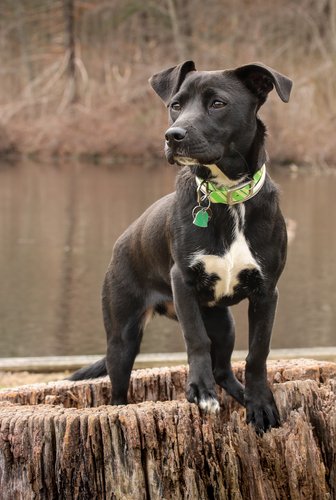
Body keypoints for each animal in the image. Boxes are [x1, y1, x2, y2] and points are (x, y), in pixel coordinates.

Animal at [71, 60, 292, 432]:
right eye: (176, 105)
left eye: (217, 103)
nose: (172, 136)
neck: (226, 196)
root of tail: (121, 241)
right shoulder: (183, 282)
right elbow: (195, 339)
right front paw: (200, 390)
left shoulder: (267, 291)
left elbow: (258, 353)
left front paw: (260, 402)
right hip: (122, 335)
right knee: (117, 390)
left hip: (223, 322)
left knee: (224, 368)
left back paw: (240, 395)